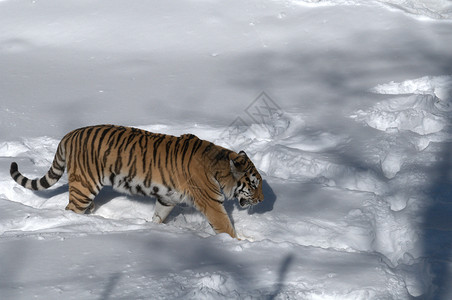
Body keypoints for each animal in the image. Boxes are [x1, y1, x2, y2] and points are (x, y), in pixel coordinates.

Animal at [9, 124, 264, 239]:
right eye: (253, 184)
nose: (262, 200)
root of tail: (70, 134)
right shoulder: (212, 203)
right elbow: (225, 225)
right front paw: (239, 243)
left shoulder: (168, 197)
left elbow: (159, 215)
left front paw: (152, 227)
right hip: (84, 186)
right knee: (70, 209)